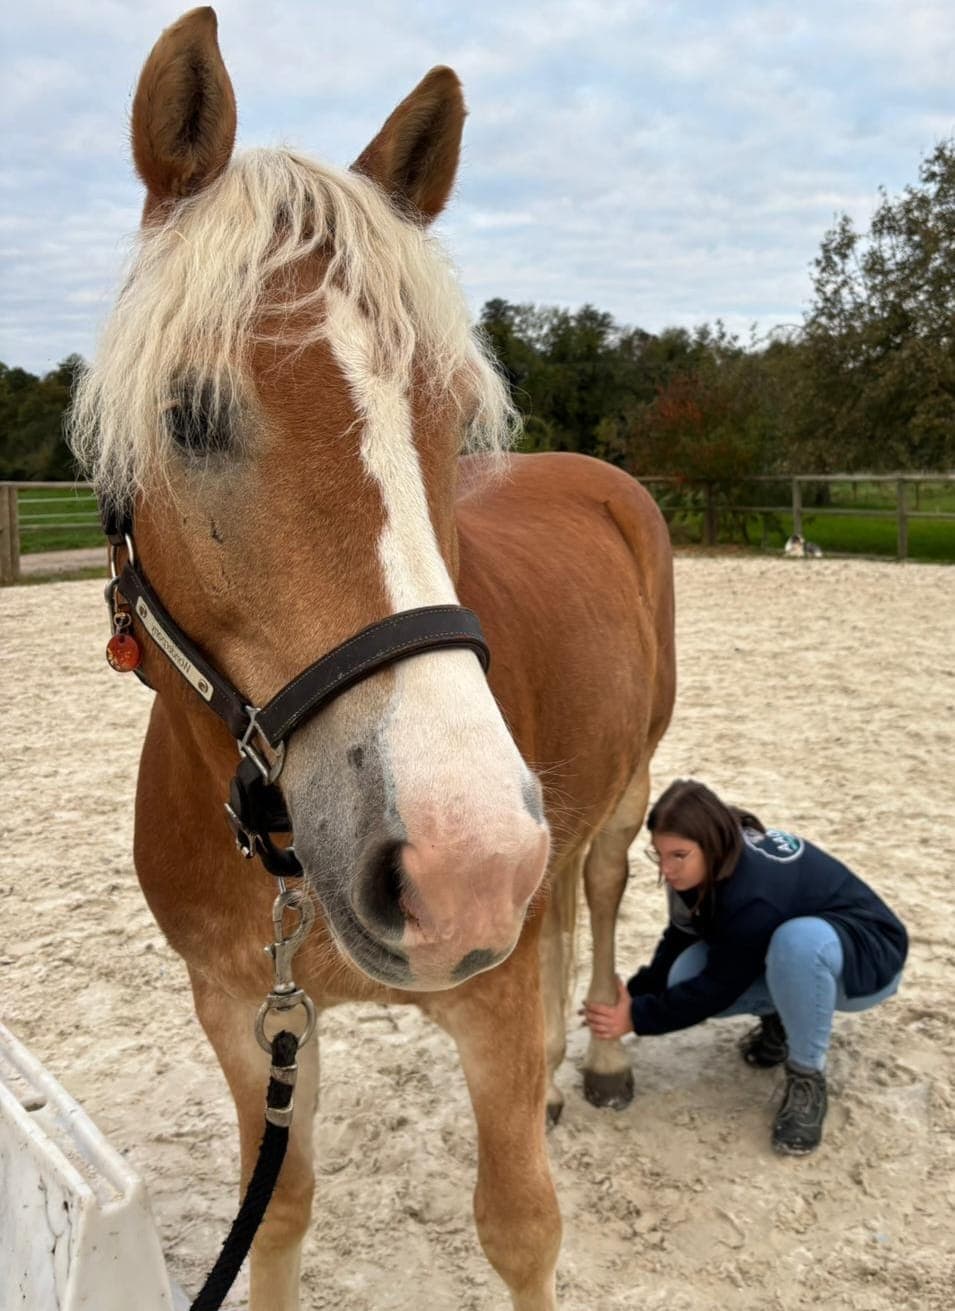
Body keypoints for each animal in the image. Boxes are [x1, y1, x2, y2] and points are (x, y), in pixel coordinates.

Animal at [70, 9, 676, 1309]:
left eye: (447, 415)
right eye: (190, 414)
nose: (466, 868)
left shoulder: (485, 1004)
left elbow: (520, 1230)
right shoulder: (246, 1016)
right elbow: (279, 1215)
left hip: (626, 785)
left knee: (597, 890)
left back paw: (595, 1061)